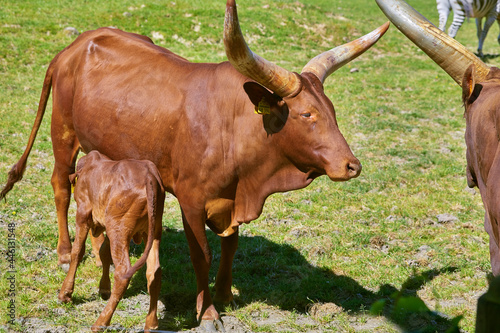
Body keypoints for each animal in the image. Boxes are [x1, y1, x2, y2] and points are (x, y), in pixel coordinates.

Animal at [57, 150, 165, 330]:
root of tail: (149, 176)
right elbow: (103, 252)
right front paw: (104, 289)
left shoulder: (83, 213)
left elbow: (77, 251)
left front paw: (65, 294)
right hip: (153, 230)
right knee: (154, 272)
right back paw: (151, 324)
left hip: (118, 228)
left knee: (122, 273)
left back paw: (100, 323)